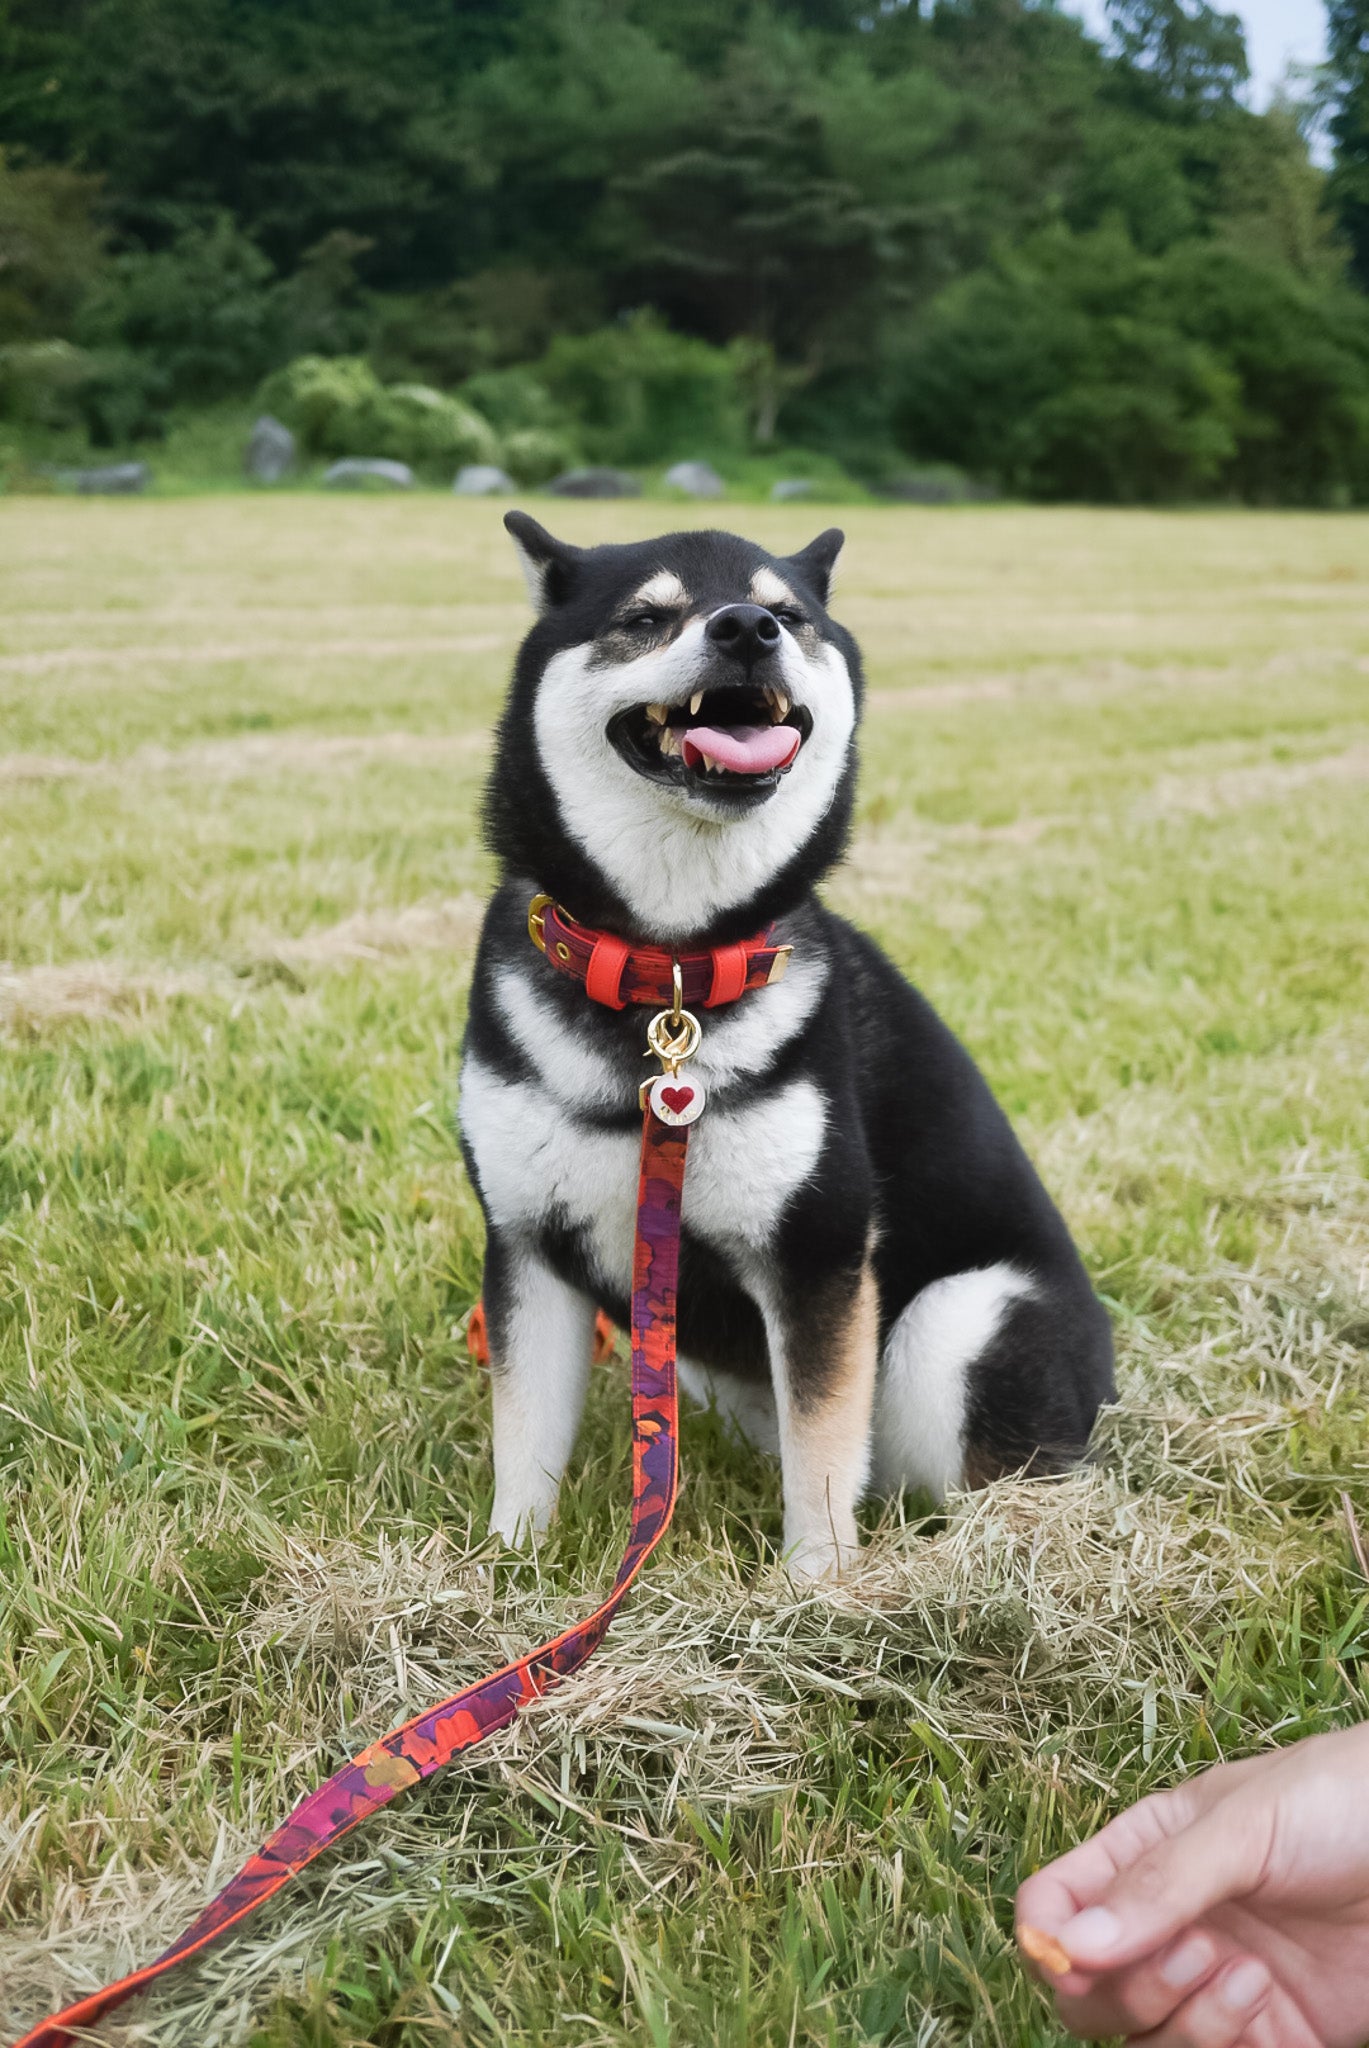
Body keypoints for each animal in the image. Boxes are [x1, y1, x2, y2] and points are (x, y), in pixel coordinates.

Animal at [459, 516, 1114, 1581]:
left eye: (790, 615)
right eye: (646, 616)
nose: (746, 628)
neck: (667, 974)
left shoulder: (817, 1254)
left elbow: (821, 1450)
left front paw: (816, 1589)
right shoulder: (527, 1243)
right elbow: (523, 1442)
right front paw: (506, 1576)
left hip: (953, 1323)